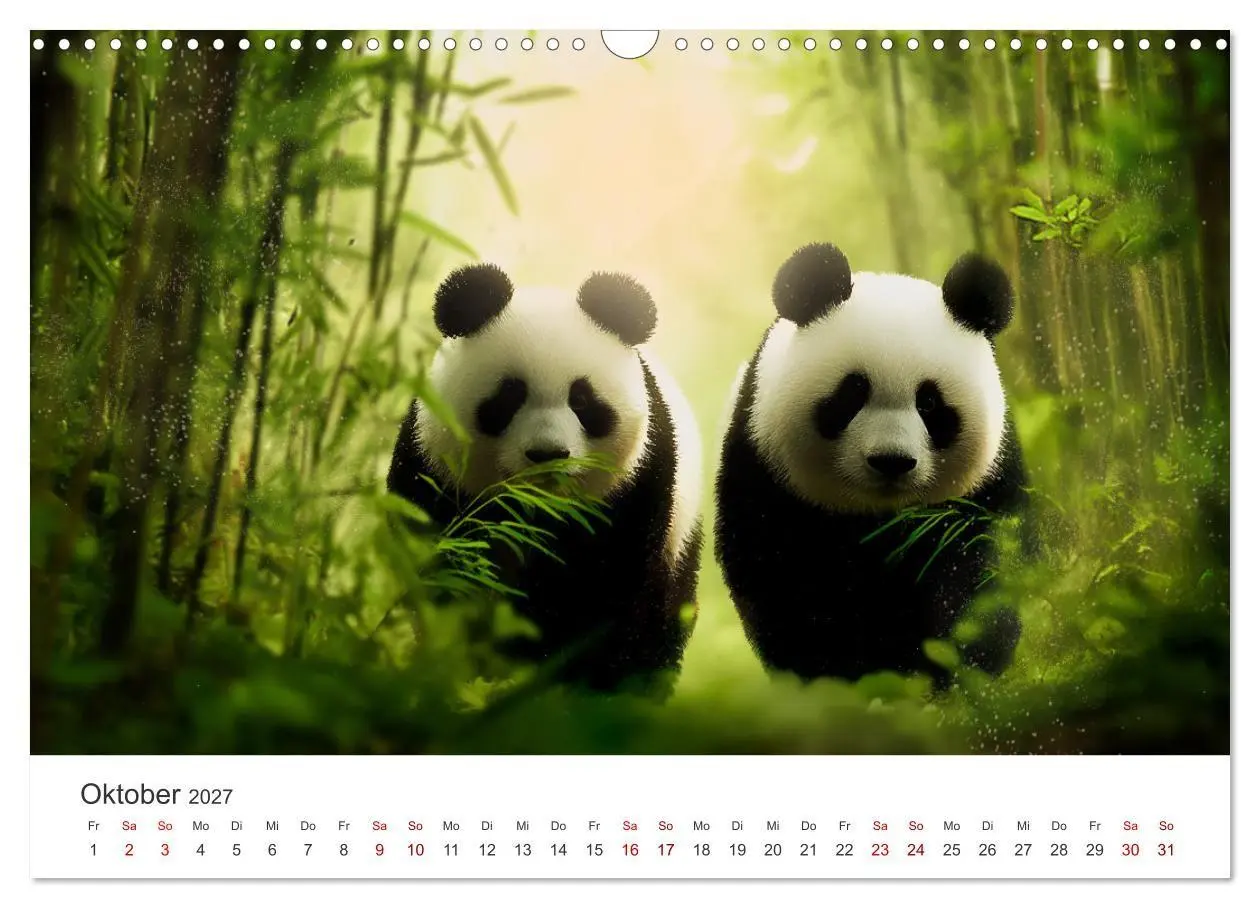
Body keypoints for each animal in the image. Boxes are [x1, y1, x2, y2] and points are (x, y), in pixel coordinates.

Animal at [387, 263, 703, 690]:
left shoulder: (635, 483)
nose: (548, 454)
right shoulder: (434, 469)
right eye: (509, 397)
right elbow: (442, 567)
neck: (537, 509)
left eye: (582, 400)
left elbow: (607, 591)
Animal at [714, 242, 1028, 684]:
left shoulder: (987, 485)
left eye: (929, 403)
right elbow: (783, 580)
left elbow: (975, 565)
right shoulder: (763, 469)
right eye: (852, 394)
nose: (891, 461)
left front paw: (958, 666)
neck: (879, 517)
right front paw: (837, 677)